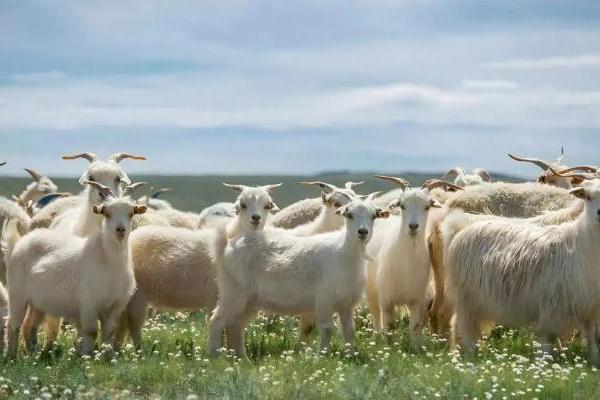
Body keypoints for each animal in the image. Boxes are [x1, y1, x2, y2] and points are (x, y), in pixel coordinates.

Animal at [2, 180, 146, 358]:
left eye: (131, 213)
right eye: (106, 213)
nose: (120, 229)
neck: (109, 262)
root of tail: (18, 244)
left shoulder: (116, 306)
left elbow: (109, 332)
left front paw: (108, 356)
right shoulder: (88, 303)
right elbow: (91, 331)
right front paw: (87, 356)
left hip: (38, 301)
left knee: (29, 325)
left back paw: (32, 354)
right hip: (17, 293)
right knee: (13, 324)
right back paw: (11, 356)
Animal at [210, 194, 390, 356]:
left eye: (373, 216)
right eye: (349, 214)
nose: (362, 232)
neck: (344, 252)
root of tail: (226, 246)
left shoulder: (346, 303)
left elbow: (349, 331)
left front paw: (350, 355)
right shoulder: (324, 300)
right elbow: (327, 328)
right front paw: (323, 356)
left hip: (249, 300)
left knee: (235, 326)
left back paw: (242, 358)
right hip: (233, 292)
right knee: (216, 320)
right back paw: (215, 357)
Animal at [440, 180, 600, 364]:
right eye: (588, 196)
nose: (599, 213)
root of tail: (460, 227)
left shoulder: (590, 308)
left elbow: (591, 338)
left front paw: (594, 361)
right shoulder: (551, 307)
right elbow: (546, 340)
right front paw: (543, 364)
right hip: (466, 296)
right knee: (463, 327)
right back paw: (469, 356)